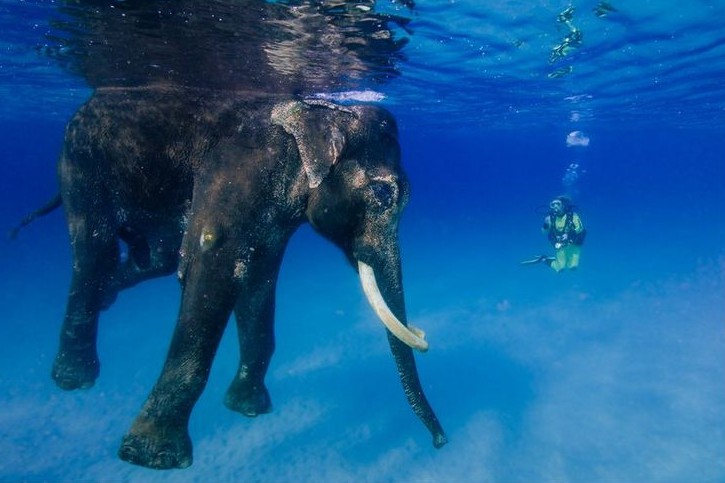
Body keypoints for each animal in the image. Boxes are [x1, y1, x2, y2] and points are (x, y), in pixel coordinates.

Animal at [51, 86, 444, 468]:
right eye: (383, 194)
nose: (440, 441)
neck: (323, 111)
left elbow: (259, 278)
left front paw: (249, 409)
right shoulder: (242, 173)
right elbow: (215, 266)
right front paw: (152, 457)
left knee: (156, 256)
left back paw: (109, 295)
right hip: (81, 163)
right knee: (93, 250)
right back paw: (75, 378)